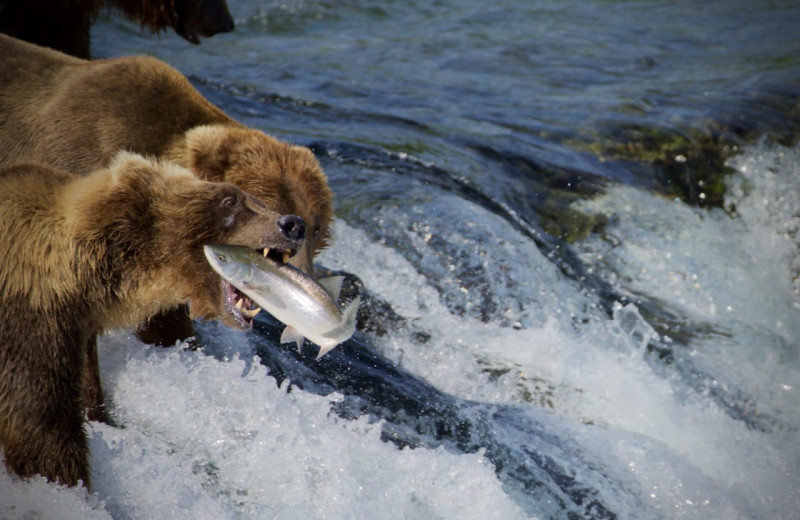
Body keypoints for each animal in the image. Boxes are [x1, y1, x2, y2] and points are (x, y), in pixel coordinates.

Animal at [0, 150, 304, 488]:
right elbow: (41, 425)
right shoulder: (34, 320)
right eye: (229, 200)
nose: (293, 224)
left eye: (257, 200)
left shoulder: (79, 332)